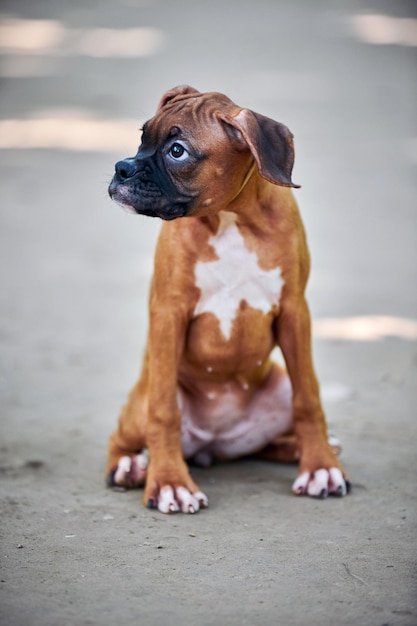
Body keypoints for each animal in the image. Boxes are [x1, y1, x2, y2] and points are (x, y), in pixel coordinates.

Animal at [105, 84, 350, 512]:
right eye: (142, 136)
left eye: (177, 151)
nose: (122, 167)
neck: (231, 219)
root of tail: (213, 445)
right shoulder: (168, 314)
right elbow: (163, 412)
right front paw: (169, 483)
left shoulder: (294, 313)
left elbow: (309, 399)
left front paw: (320, 466)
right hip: (139, 404)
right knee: (122, 438)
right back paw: (131, 467)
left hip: (278, 386)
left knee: (271, 438)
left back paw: (308, 449)